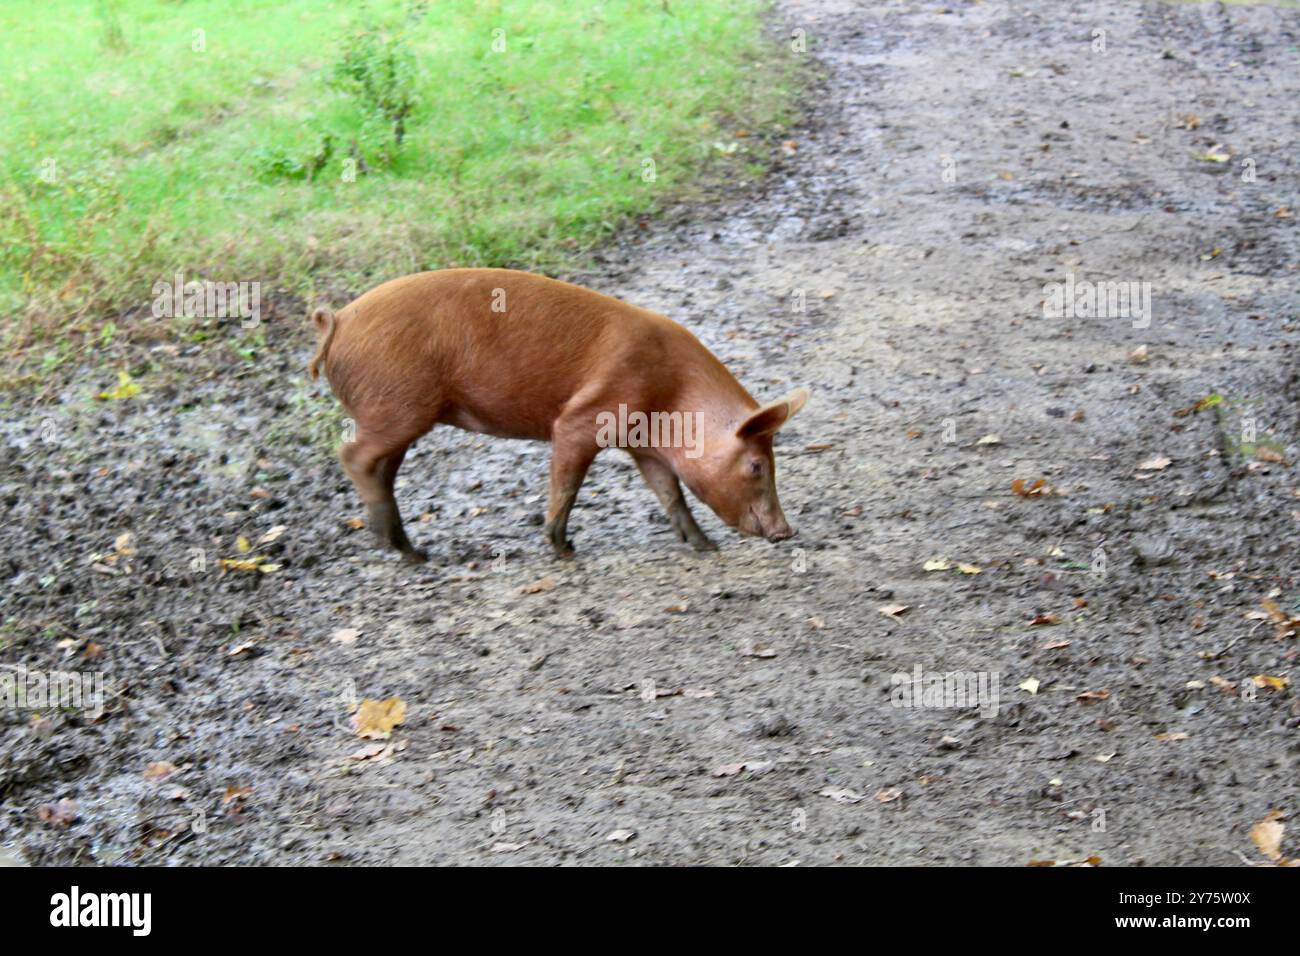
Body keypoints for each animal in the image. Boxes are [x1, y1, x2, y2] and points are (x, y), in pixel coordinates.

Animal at [308, 269, 806, 564]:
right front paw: (564, 549)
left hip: (398, 415)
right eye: (756, 466)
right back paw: (409, 553)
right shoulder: (583, 419)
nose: (786, 532)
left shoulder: (646, 447)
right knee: (352, 455)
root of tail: (338, 321)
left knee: (382, 469)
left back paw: (411, 549)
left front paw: (705, 546)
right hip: (397, 407)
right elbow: (567, 484)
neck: (674, 394)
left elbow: (670, 492)